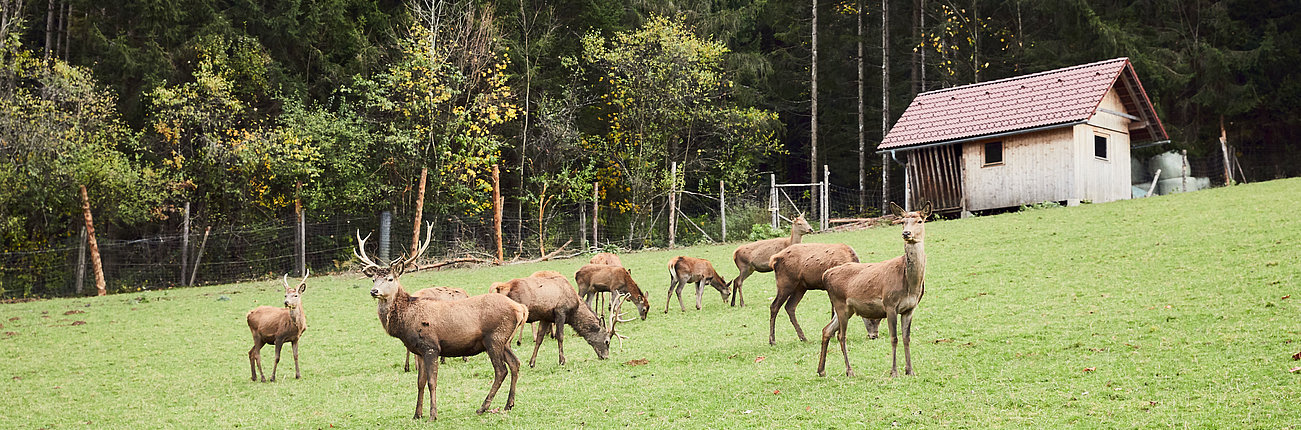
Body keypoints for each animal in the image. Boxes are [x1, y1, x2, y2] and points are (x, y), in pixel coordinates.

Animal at [356, 228, 528, 420]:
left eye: (390, 279)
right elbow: (420, 382)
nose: (374, 291)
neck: (406, 320)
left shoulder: (431, 346)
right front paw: (417, 414)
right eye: (373, 279)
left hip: (495, 338)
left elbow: (432, 382)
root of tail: (520, 308)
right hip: (505, 341)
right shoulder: (419, 351)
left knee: (501, 370)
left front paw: (433, 415)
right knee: (515, 363)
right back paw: (508, 405)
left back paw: (483, 407)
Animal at [489, 272, 629, 366]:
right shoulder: (560, 312)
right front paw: (562, 361)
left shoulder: (546, 317)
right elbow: (560, 336)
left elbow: (539, 338)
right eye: (607, 341)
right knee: (506, 343)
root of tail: (500, 288)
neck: (574, 311)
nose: (605, 357)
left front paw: (532, 362)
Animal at [817, 202, 931, 376]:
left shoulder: (910, 308)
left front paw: (910, 370)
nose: (906, 233)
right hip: (840, 303)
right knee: (841, 335)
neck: (911, 284)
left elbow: (907, 338)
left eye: (920, 221)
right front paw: (894, 372)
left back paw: (821, 370)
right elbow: (894, 338)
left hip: (846, 309)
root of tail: (825, 275)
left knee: (826, 330)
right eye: (902, 221)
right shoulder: (889, 304)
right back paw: (849, 371)